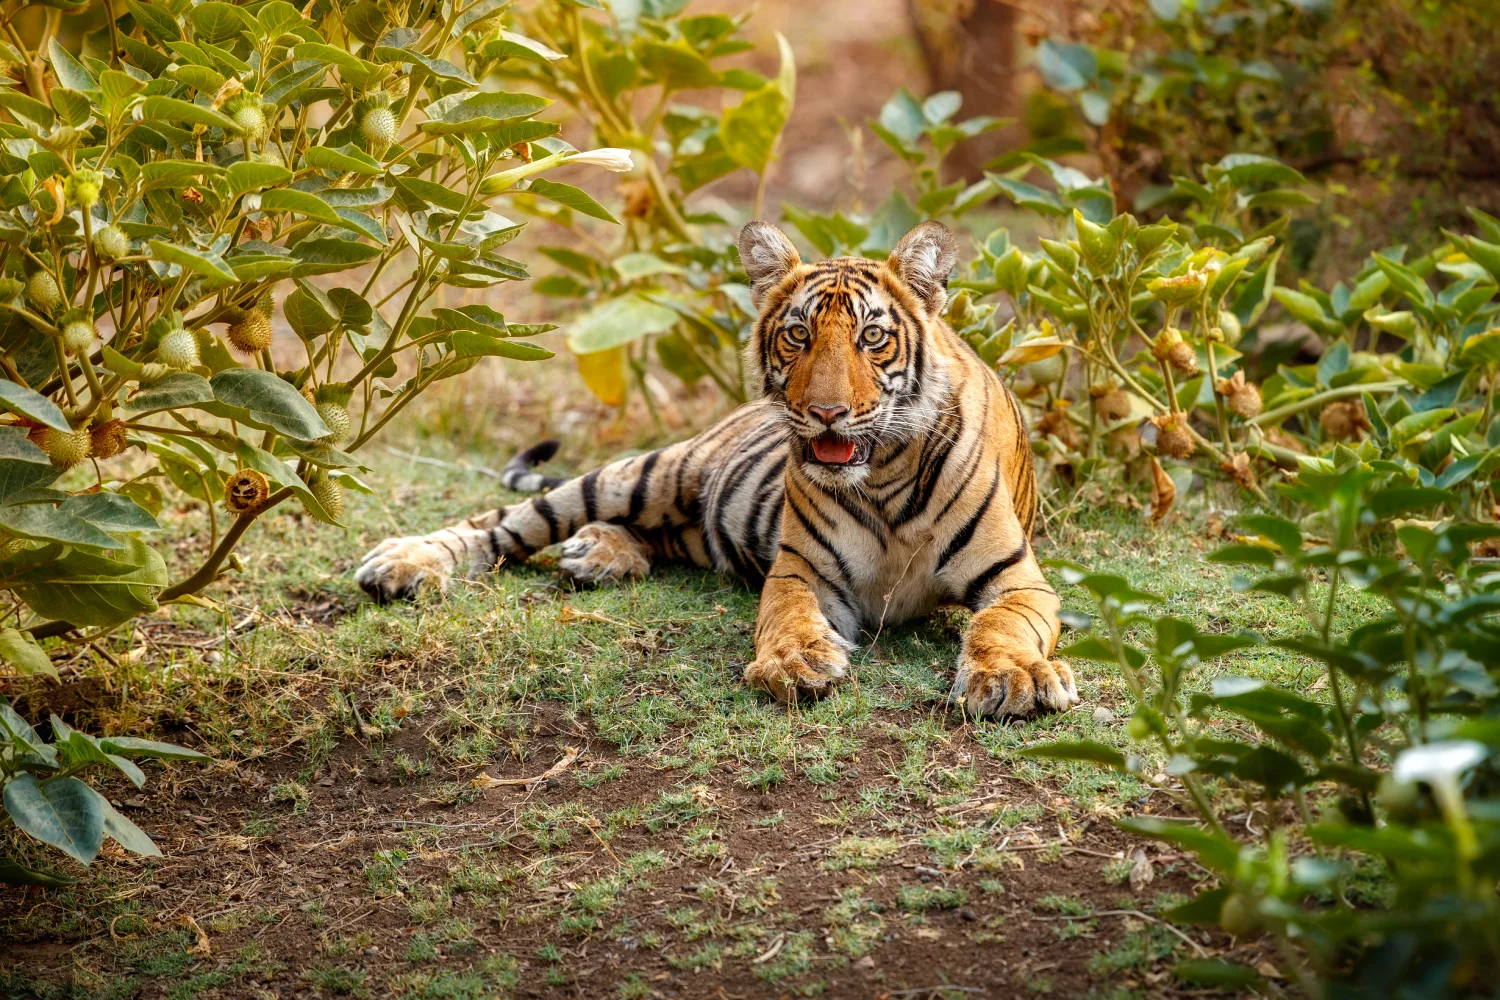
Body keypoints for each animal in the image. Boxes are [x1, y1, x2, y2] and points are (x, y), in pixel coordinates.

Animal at [355, 221, 1079, 719]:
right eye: (798, 335)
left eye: (872, 337)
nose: (826, 413)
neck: (882, 478)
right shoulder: (800, 572)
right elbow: (788, 617)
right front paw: (794, 661)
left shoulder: (1018, 579)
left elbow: (1000, 624)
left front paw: (1011, 678)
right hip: (647, 474)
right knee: (502, 523)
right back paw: (403, 563)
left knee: (648, 536)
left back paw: (600, 554)